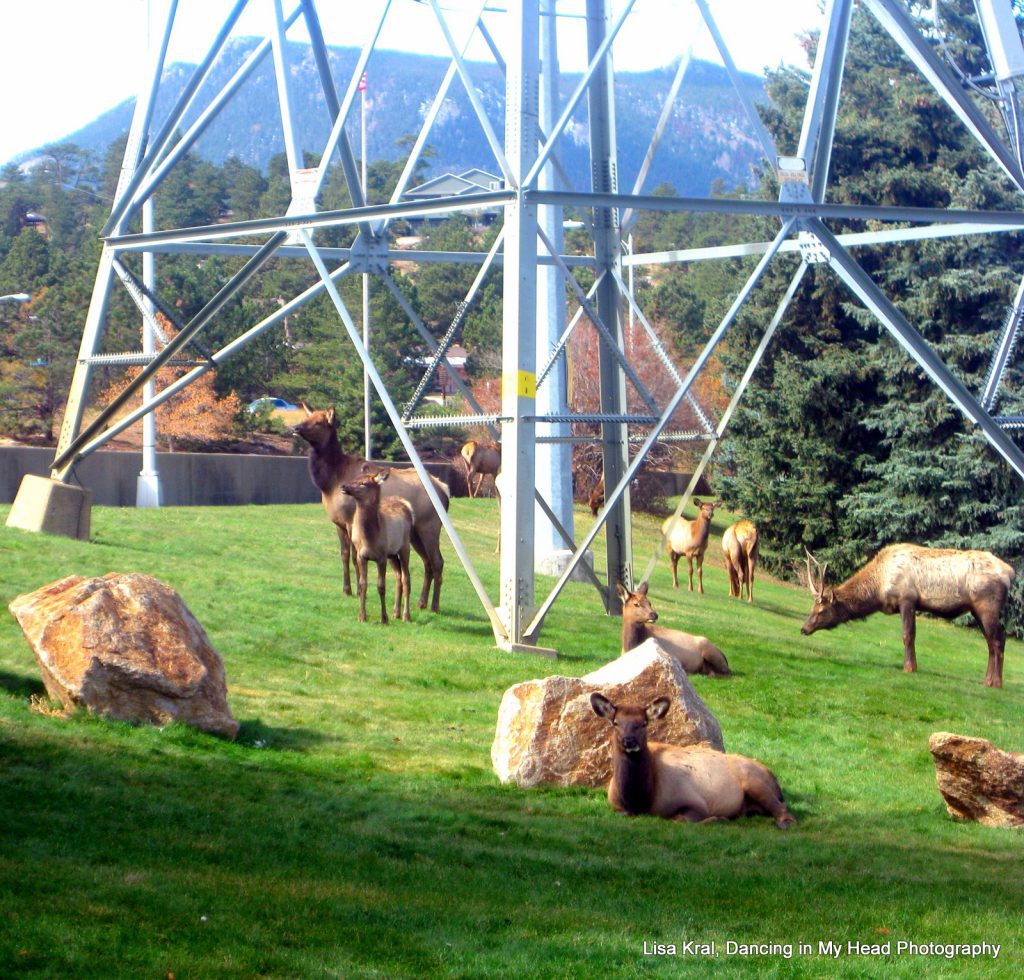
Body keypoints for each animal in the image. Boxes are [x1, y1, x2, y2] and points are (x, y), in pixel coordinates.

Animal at [339, 469, 411, 622]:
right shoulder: (361, 556)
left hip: (404, 547)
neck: (370, 538)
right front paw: (362, 616)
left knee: (406, 578)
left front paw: (384, 618)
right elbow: (362, 585)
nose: (343, 485)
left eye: (363, 483)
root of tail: (405, 504)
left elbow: (381, 586)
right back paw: (396, 612)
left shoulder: (381, 557)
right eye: (355, 477)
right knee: (398, 576)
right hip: (392, 554)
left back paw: (406, 615)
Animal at [589, 688, 794, 827]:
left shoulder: (694, 802)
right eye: (616, 722)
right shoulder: (617, 807)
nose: (629, 741)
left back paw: (785, 822)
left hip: (754, 780)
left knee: (782, 808)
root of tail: (773, 777)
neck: (639, 799)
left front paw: (718, 818)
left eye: (644, 723)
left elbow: (680, 819)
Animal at [798, 544, 1015, 688]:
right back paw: (987, 680)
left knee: (998, 639)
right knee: (990, 642)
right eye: (811, 607)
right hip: (976, 610)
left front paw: (909, 668)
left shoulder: (907, 600)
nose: (804, 629)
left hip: (987, 606)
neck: (880, 588)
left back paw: (997, 683)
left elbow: (908, 635)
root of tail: (1011, 573)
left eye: (821, 610)